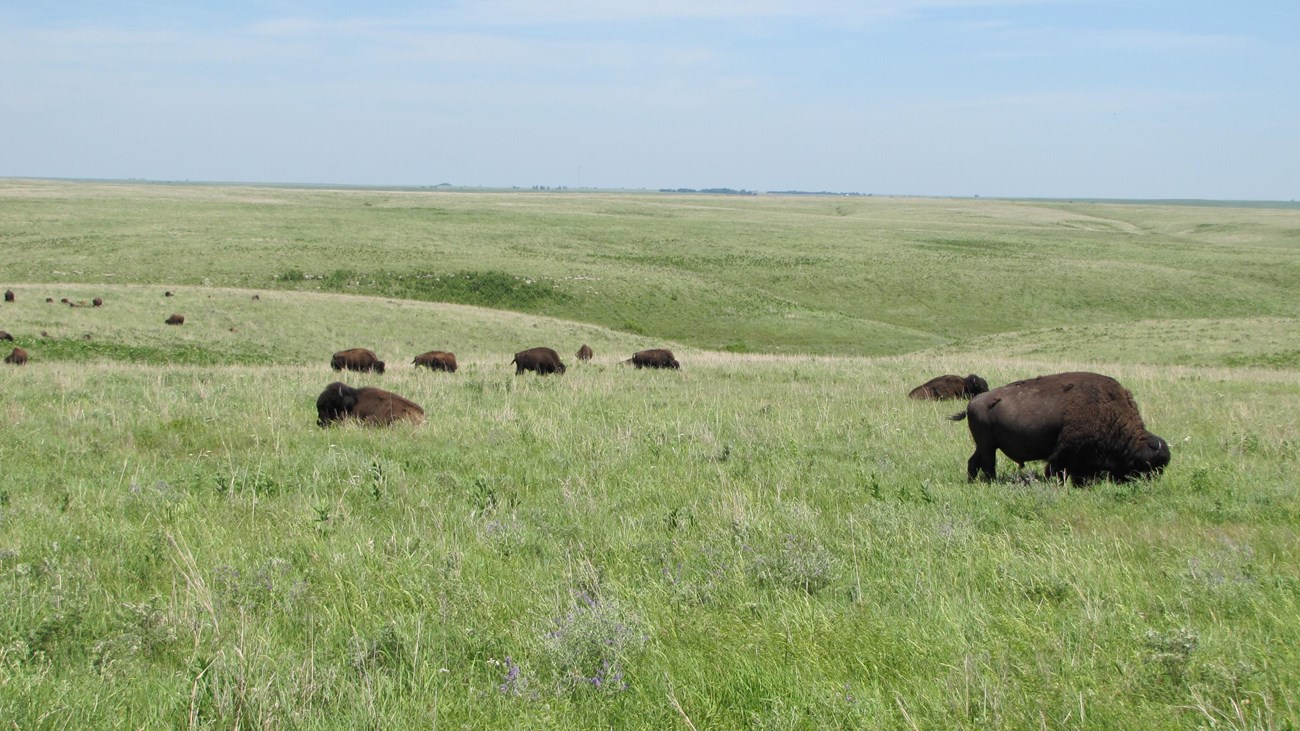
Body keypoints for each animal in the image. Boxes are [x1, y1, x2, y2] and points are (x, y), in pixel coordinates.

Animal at [951, 369, 1175, 483]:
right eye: (1146, 467)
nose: (1147, 484)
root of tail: (973, 402)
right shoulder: (1066, 449)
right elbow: (1056, 467)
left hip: (984, 445)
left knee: (974, 462)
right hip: (988, 446)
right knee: (988, 464)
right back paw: (991, 481)